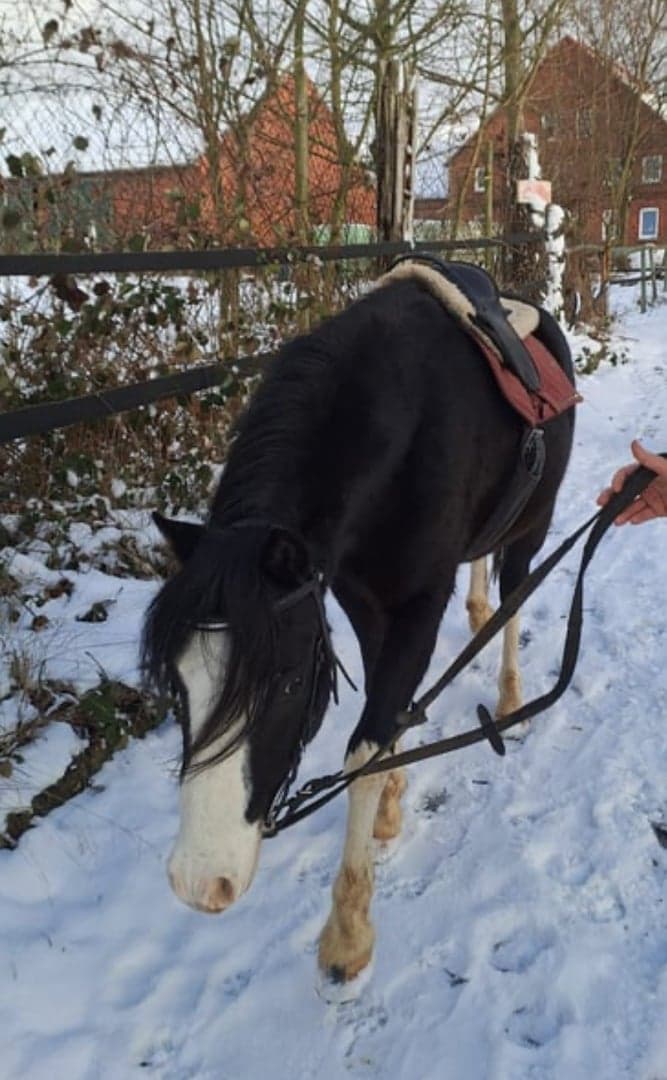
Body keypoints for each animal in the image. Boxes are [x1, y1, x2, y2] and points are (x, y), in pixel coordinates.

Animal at [142, 267, 575, 986]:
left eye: (288, 685)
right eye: (178, 686)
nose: (200, 884)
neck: (396, 430)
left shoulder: (417, 603)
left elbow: (366, 747)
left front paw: (346, 935)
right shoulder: (357, 597)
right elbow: (385, 709)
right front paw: (394, 798)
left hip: (531, 527)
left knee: (515, 597)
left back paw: (513, 697)